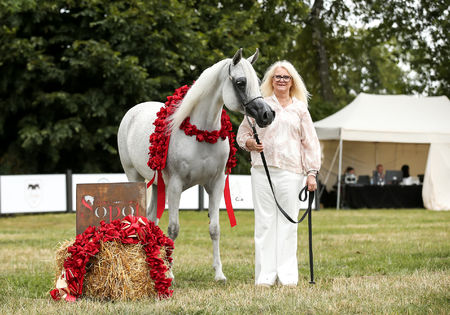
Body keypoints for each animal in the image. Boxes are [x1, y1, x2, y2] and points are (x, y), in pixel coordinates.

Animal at [117, 48, 274, 282]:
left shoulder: (216, 184)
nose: (267, 114)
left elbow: (215, 228)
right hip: (135, 178)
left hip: (158, 184)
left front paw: (219, 273)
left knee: (152, 219)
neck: (202, 133)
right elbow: (173, 229)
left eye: (258, 81)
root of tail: (133, 112)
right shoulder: (175, 185)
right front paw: (169, 272)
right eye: (240, 82)